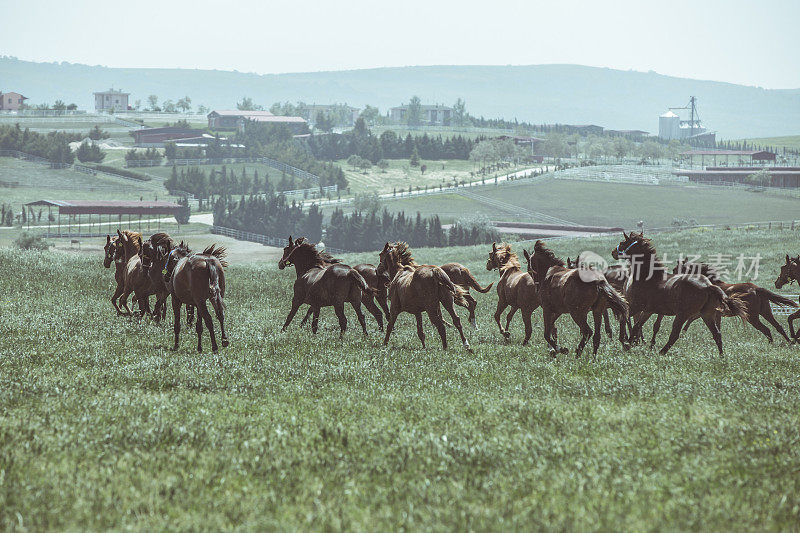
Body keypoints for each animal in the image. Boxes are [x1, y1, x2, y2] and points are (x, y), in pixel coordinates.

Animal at [612, 232, 752, 354]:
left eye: (623, 242)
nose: (613, 252)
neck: (647, 277)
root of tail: (709, 286)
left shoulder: (636, 306)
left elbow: (624, 317)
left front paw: (625, 342)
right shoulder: (648, 310)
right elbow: (637, 325)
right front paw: (630, 343)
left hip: (682, 315)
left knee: (675, 334)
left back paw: (661, 352)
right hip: (707, 315)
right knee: (716, 334)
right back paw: (722, 357)